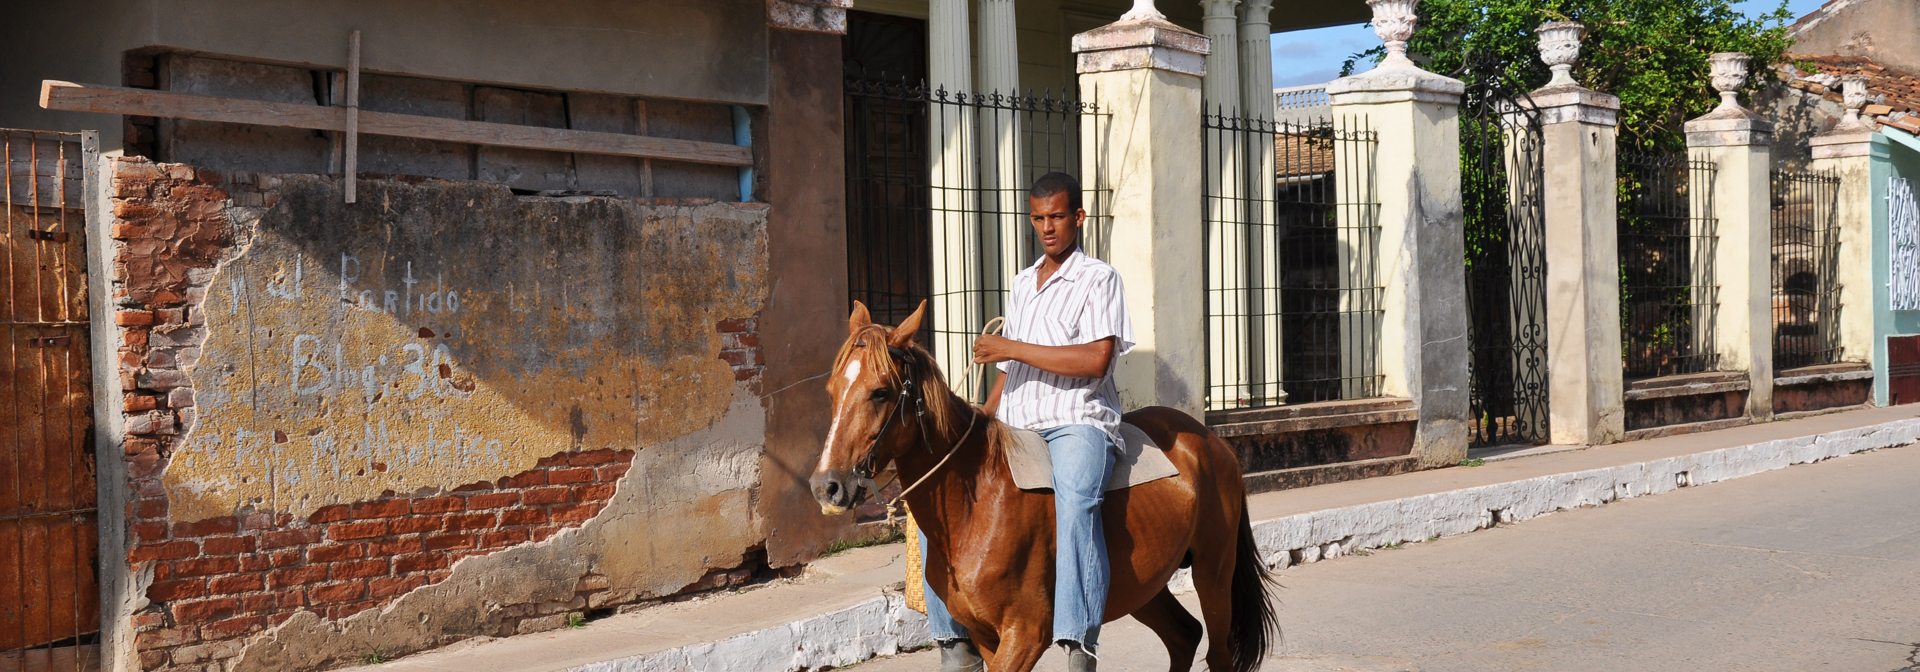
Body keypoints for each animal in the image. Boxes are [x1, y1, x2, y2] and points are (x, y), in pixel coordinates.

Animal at [810, 303, 1274, 672]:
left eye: (880, 392)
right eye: (831, 390)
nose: (826, 486)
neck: (977, 504)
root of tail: (1211, 442)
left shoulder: (1025, 634)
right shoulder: (986, 636)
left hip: (1214, 569)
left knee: (1216, 651)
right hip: (1145, 586)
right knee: (1184, 635)